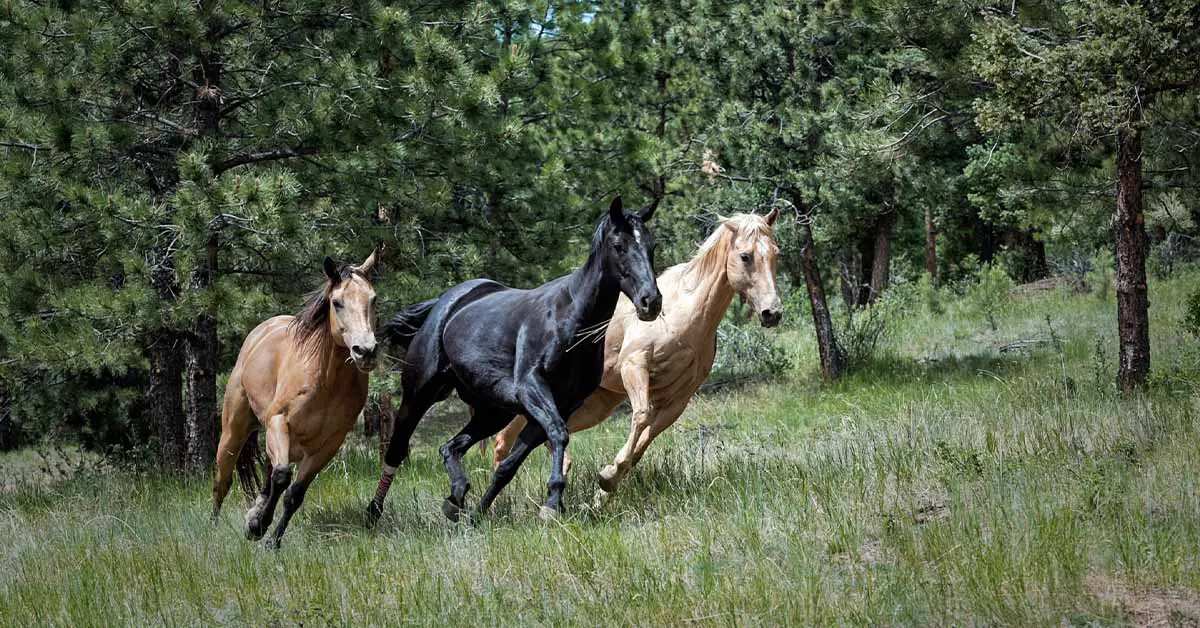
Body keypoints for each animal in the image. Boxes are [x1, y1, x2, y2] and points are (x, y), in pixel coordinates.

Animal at [211, 251, 379, 548]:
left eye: (372, 299)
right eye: (337, 303)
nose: (366, 351)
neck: (325, 380)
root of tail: (260, 332)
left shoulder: (329, 444)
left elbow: (294, 493)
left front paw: (270, 540)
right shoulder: (279, 422)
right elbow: (281, 477)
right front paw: (258, 527)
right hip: (234, 432)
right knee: (223, 480)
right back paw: (214, 530)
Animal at [364, 197, 661, 525]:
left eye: (651, 245)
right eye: (619, 245)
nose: (651, 301)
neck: (570, 319)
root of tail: (444, 303)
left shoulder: (560, 404)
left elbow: (509, 465)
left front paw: (479, 513)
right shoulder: (532, 389)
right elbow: (558, 433)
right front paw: (552, 502)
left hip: (493, 412)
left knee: (450, 447)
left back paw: (456, 498)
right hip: (419, 395)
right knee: (396, 449)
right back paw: (374, 512)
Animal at [492, 209, 782, 498]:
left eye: (775, 253)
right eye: (745, 256)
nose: (772, 312)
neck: (684, 313)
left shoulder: (678, 398)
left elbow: (646, 439)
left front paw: (606, 485)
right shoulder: (634, 367)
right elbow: (641, 416)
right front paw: (608, 478)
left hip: (596, 404)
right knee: (504, 439)